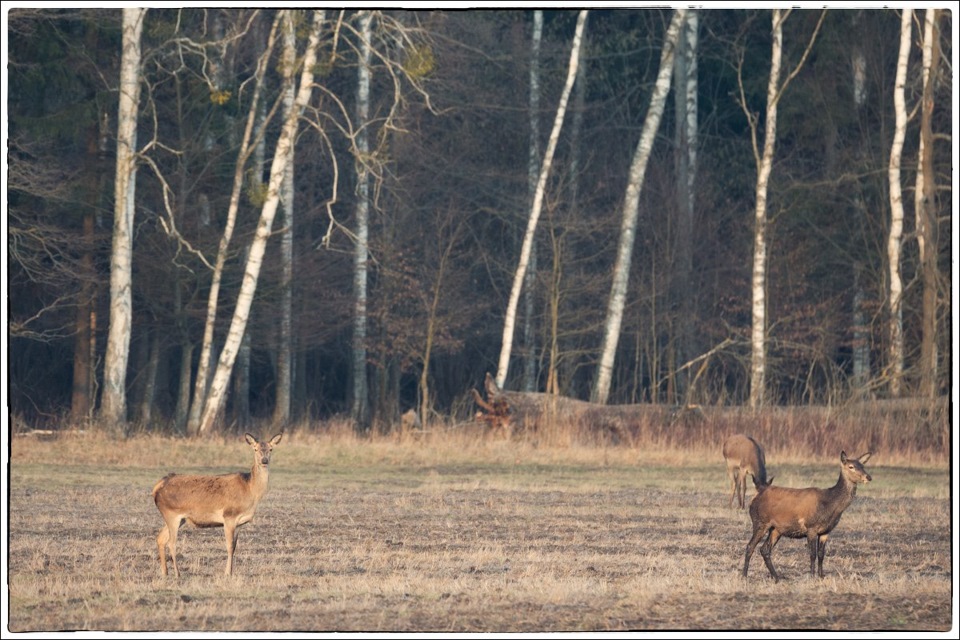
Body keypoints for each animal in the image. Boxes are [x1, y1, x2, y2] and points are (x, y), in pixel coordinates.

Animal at [152, 432, 284, 576]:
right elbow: (229, 546)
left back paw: (165, 572)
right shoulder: (229, 516)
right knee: (171, 543)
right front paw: (227, 573)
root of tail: (157, 487)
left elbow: (235, 546)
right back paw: (177, 573)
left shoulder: (240, 523)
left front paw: (231, 572)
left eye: (271, 449)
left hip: (179, 518)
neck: (250, 490)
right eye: (255, 449)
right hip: (171, 513)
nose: (264, 460)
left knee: (160, 538)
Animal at [744, 452, 876, 584]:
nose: (868, 477)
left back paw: (777, 577)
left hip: (776, 529)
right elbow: (812, 554)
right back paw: (744, 575)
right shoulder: (811, 527)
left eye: (862, 465)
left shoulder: (826, 531)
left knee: (764, 550)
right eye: (851, 466)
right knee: (750, 546)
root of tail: (755, 495)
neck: (829, 504)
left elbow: (821, 554)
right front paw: (812, 576)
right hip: (760, 521)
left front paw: (821, 576)